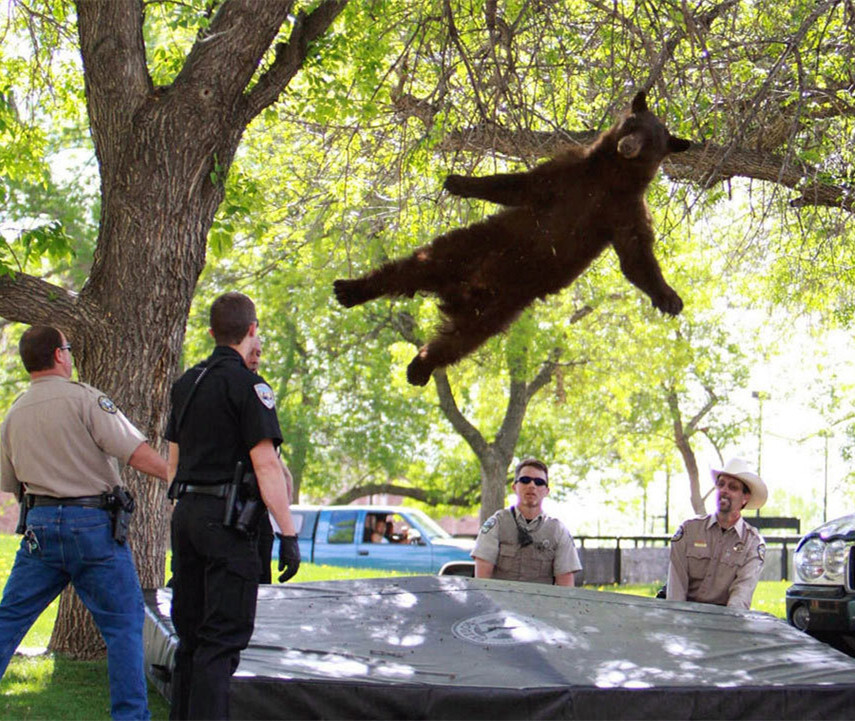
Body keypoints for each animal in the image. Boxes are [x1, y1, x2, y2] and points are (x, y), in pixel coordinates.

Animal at [334, 92, 696, 386]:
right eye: (632, 124)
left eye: (651, 141)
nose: (628, 145)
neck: (611, 177)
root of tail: (460, 292)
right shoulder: (570, 173)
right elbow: (520, 185)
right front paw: (459, 182)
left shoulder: (625, 210)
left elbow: (636, 255)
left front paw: (669, 298)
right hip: (467, 248)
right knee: (408, 269)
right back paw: (351, 289)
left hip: (500, 308)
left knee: (458, 341)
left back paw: (419, 368)